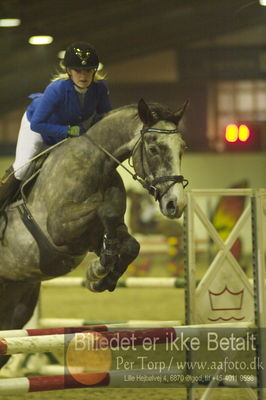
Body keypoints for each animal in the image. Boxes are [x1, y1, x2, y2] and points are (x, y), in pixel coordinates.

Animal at [0, 100, 188, 344]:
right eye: (153, 149)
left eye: (182, 148)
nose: (176, 204)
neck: (97, 164)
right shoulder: (59, 228)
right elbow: (105, 210)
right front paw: (98, 268)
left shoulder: (94, 237)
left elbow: (131, 245)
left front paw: (100, 277)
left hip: (17, 297)